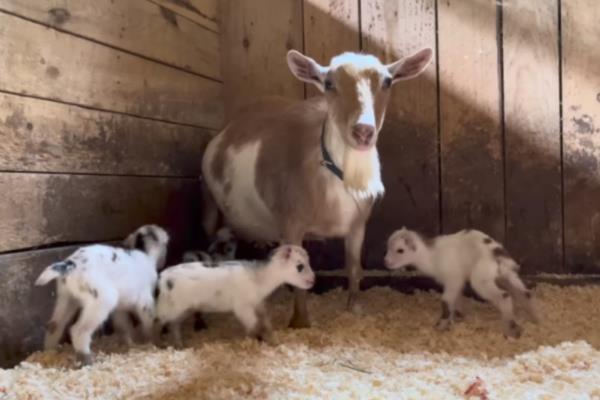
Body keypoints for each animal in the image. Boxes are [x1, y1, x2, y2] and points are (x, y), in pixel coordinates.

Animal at [35, 225, 169, 366]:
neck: (143, 253)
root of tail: (70, 264)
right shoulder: (145, 303)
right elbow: (149, 324)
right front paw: (153, 342)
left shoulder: (119, 309)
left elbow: (123, 327)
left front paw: (127, 344)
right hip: (102, 301)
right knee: (78, 331)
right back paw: (87, 359)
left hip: (67, 298)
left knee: (54, 326)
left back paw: (50, 353)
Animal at [155, 244, 314, 346]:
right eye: (300, 266)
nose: (313, 280)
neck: (260, 278)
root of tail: (162, 278)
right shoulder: (242, 307)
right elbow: (254, 324)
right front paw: (254, 340)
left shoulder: (258, 303)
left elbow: (265, 320)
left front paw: (270, 337)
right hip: (169, 308)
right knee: (159, 323)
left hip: (183, 309)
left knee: (174, 325)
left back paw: (178, 344)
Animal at [200, 48, 432, 326]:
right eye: (328, 83)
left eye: (387, 81)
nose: (363, 131)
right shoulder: (291, 222)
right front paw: (300, 322)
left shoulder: (357, 225)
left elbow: (354, 267)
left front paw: (355, 308)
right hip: (209, 203)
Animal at [384, 228, 540, 338]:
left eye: (400, 250)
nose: (386, 262)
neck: (431, 256)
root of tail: (496, 253)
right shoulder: (457, 283)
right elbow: (457, 299)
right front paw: (458, 316)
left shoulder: (453, 279)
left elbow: (446, 301)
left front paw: (442, 325)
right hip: (508, 275)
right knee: (525, 293)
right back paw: (536, 320)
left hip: (481, 280)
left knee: (505, 296)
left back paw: (510, 329)